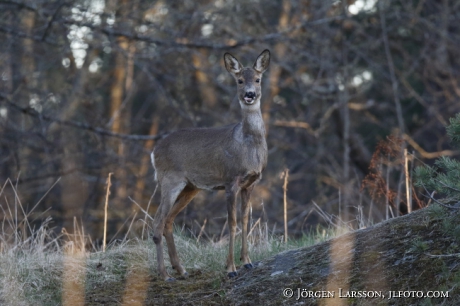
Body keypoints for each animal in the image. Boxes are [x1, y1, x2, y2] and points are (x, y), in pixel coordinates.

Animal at [153, 49, 270, 280]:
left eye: (258, 79)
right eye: (239, 80)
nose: (249, 94)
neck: (248, 145)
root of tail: (154, 152)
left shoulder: (251, 182)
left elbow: (245, 220)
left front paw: (247, 262)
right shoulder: (231, 180)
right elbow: (232, 222)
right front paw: (231, 268)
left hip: (191, 186)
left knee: (169, 220)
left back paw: (181, 269)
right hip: (169, 180)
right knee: (158, 221)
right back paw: (164, 274)